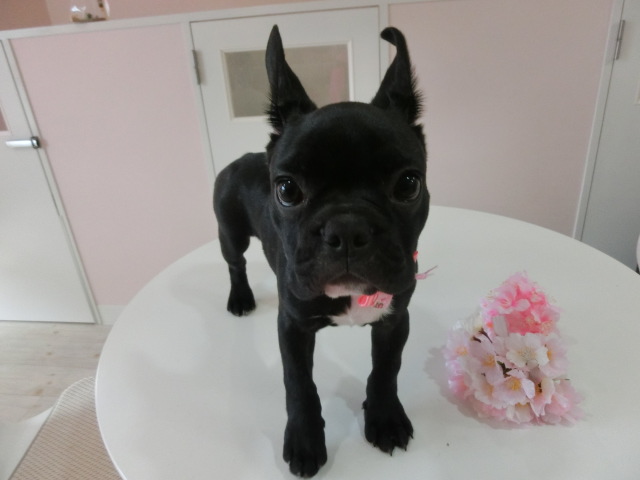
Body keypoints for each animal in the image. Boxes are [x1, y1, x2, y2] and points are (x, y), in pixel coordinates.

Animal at [213, 25, 429, 477]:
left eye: (408, 184)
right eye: (286, 190)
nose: (346, 229)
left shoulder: (394, 320)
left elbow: (386, 369)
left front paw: (385, 417)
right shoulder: (292, 327)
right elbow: (299, 384)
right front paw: (305, 439)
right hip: (230, 232)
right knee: (235, 263)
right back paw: (240, 297)